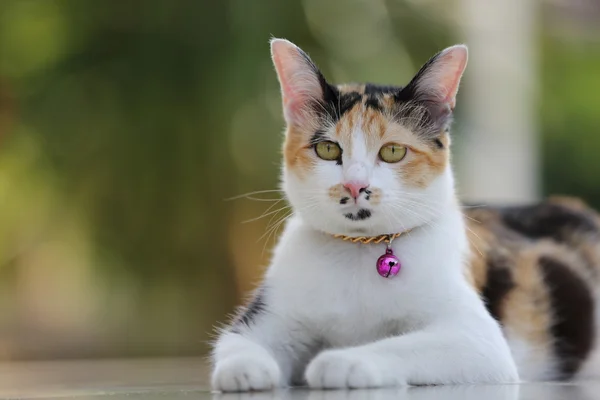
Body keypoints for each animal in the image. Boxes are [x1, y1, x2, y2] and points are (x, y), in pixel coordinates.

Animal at [210, 38, 600, 390]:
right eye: (328, 149)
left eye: (393, 151)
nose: (354, 186)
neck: (360, 250)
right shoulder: (266, 316)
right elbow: (236, 343)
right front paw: (244, 369)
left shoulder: (477, 340)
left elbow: (400, 345)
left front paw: (342, 361)